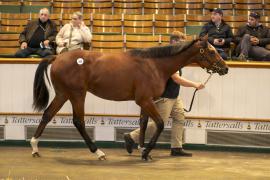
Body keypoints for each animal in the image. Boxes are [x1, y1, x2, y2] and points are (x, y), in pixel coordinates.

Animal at [30, 35, 228, 160]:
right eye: (211, 51)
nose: (225, 68)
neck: (154, 65)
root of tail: (57, 58)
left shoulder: (146, 101)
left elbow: (143, 123)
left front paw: (140, 148)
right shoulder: (145, 100)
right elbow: (159, 123)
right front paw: (146, 152)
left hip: (63, 94)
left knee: (47, 114)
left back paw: (34, 147)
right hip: (77, 95)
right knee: (78, 121)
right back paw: (98, 152)